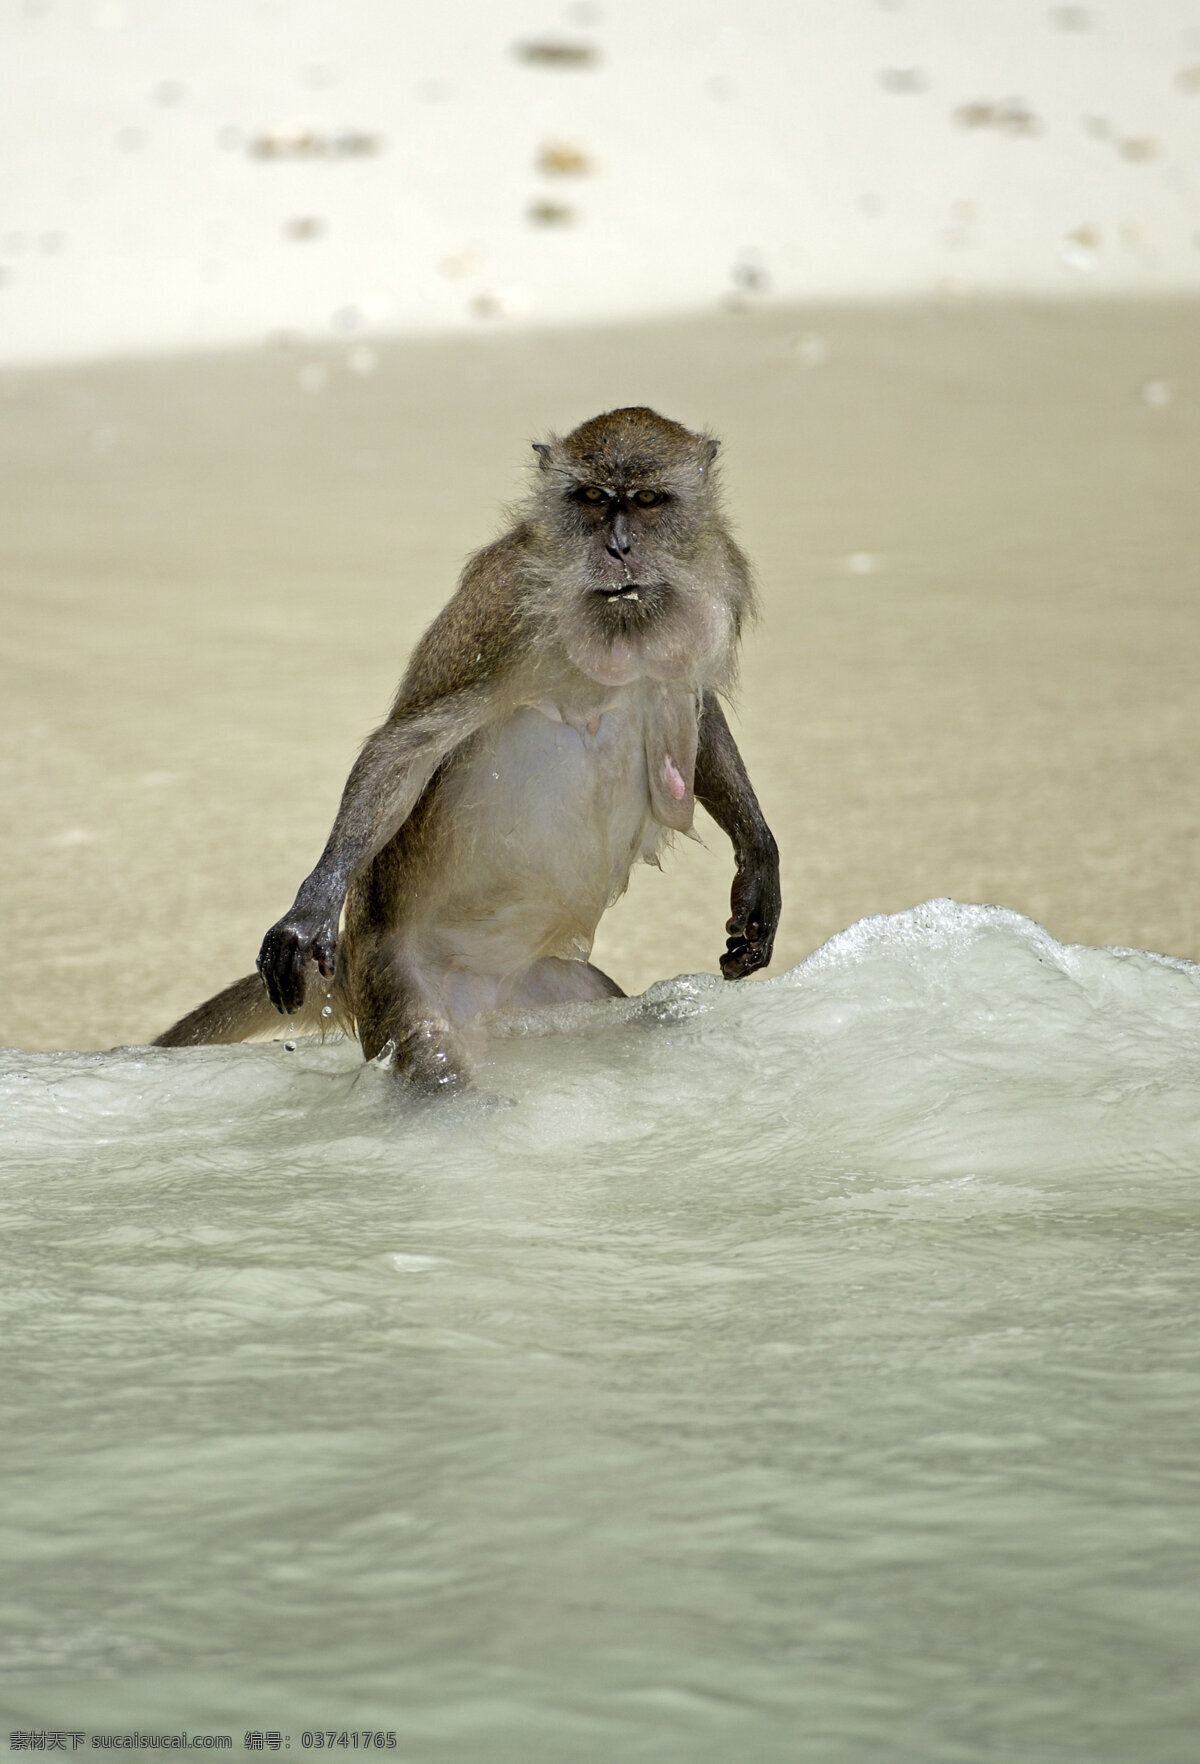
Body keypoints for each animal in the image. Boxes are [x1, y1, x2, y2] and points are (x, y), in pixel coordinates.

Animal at [157, 409, 776, 1086]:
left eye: (644, 501)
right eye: (591, 498)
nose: (617, 549)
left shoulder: (717, 570)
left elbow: (699, 705)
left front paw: (758, 863)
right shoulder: (501, 612)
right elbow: (407, 747)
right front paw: (312, 903)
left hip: (547, 994)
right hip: (399, 986)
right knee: (435, 1062)